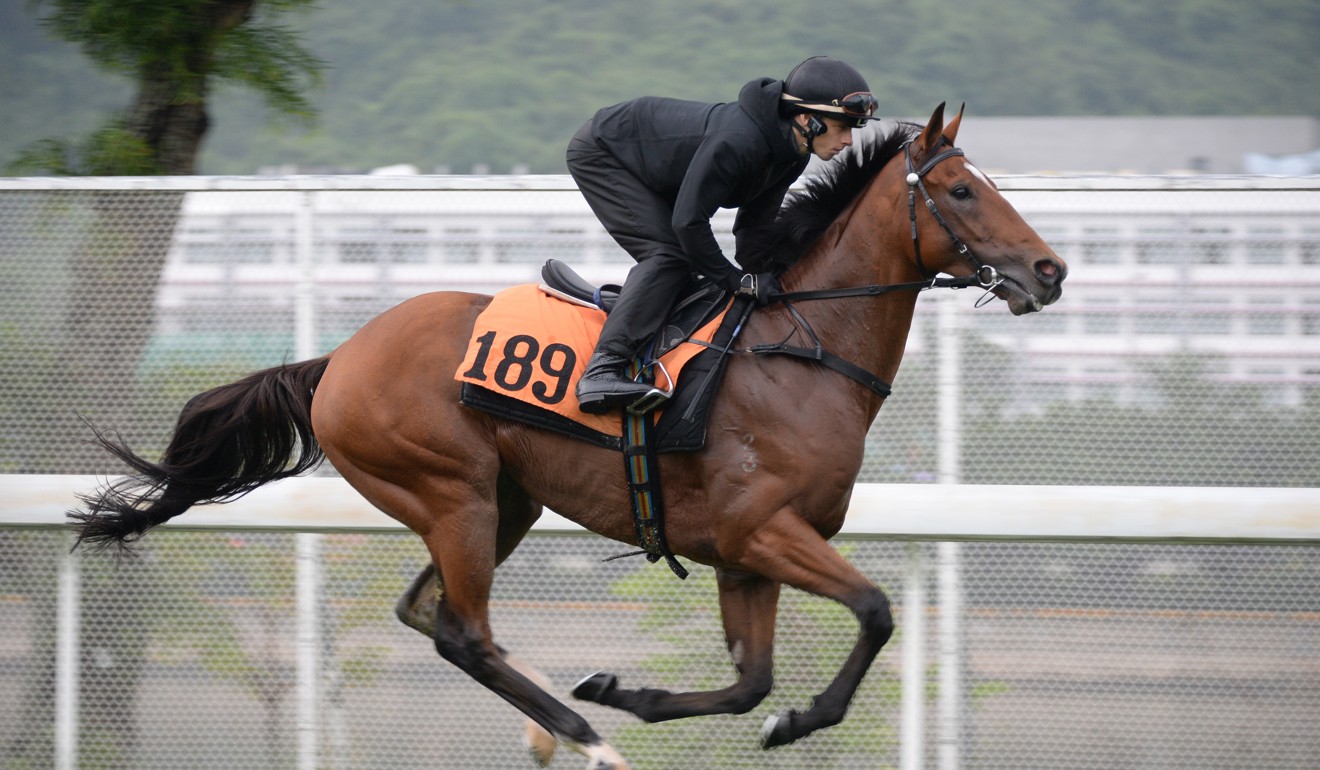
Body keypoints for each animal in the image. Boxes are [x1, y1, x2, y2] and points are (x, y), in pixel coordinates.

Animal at [69, 103, 1061, 770]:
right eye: (962, 190)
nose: (1048, 270)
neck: (800, 351)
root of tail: (338, 358)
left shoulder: (747, 554)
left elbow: (752, 680)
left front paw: (635, 692)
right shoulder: (762, 531)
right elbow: (875, 610)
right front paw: (771, 719)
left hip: (502, 504)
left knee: (428, 613)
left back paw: (564, 722)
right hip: (453, 492)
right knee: (462, 633)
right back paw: (584, 740)